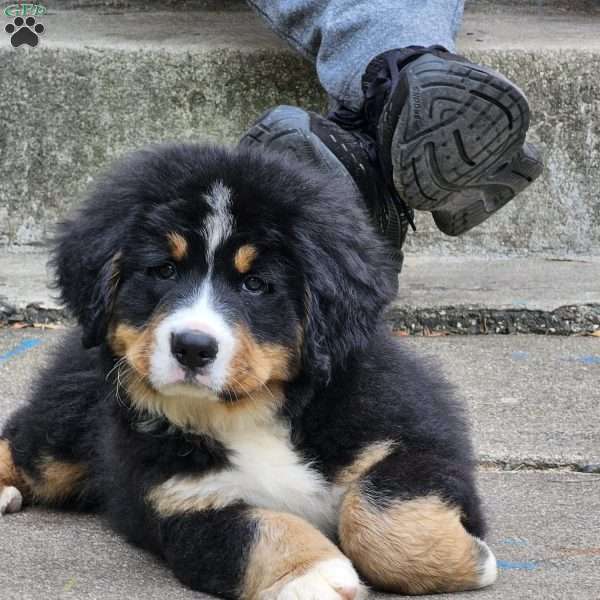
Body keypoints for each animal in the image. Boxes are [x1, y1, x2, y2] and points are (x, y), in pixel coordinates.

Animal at [1, 145, 496, 600]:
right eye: (164, 271)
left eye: (255, 284)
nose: (193, 347)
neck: (250, 410)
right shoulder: (181, 502)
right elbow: (257, 531)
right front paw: (313, 576)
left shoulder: (412, 437)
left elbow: (379, 511)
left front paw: (469, 559)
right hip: (65, 432)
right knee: (24, 443)